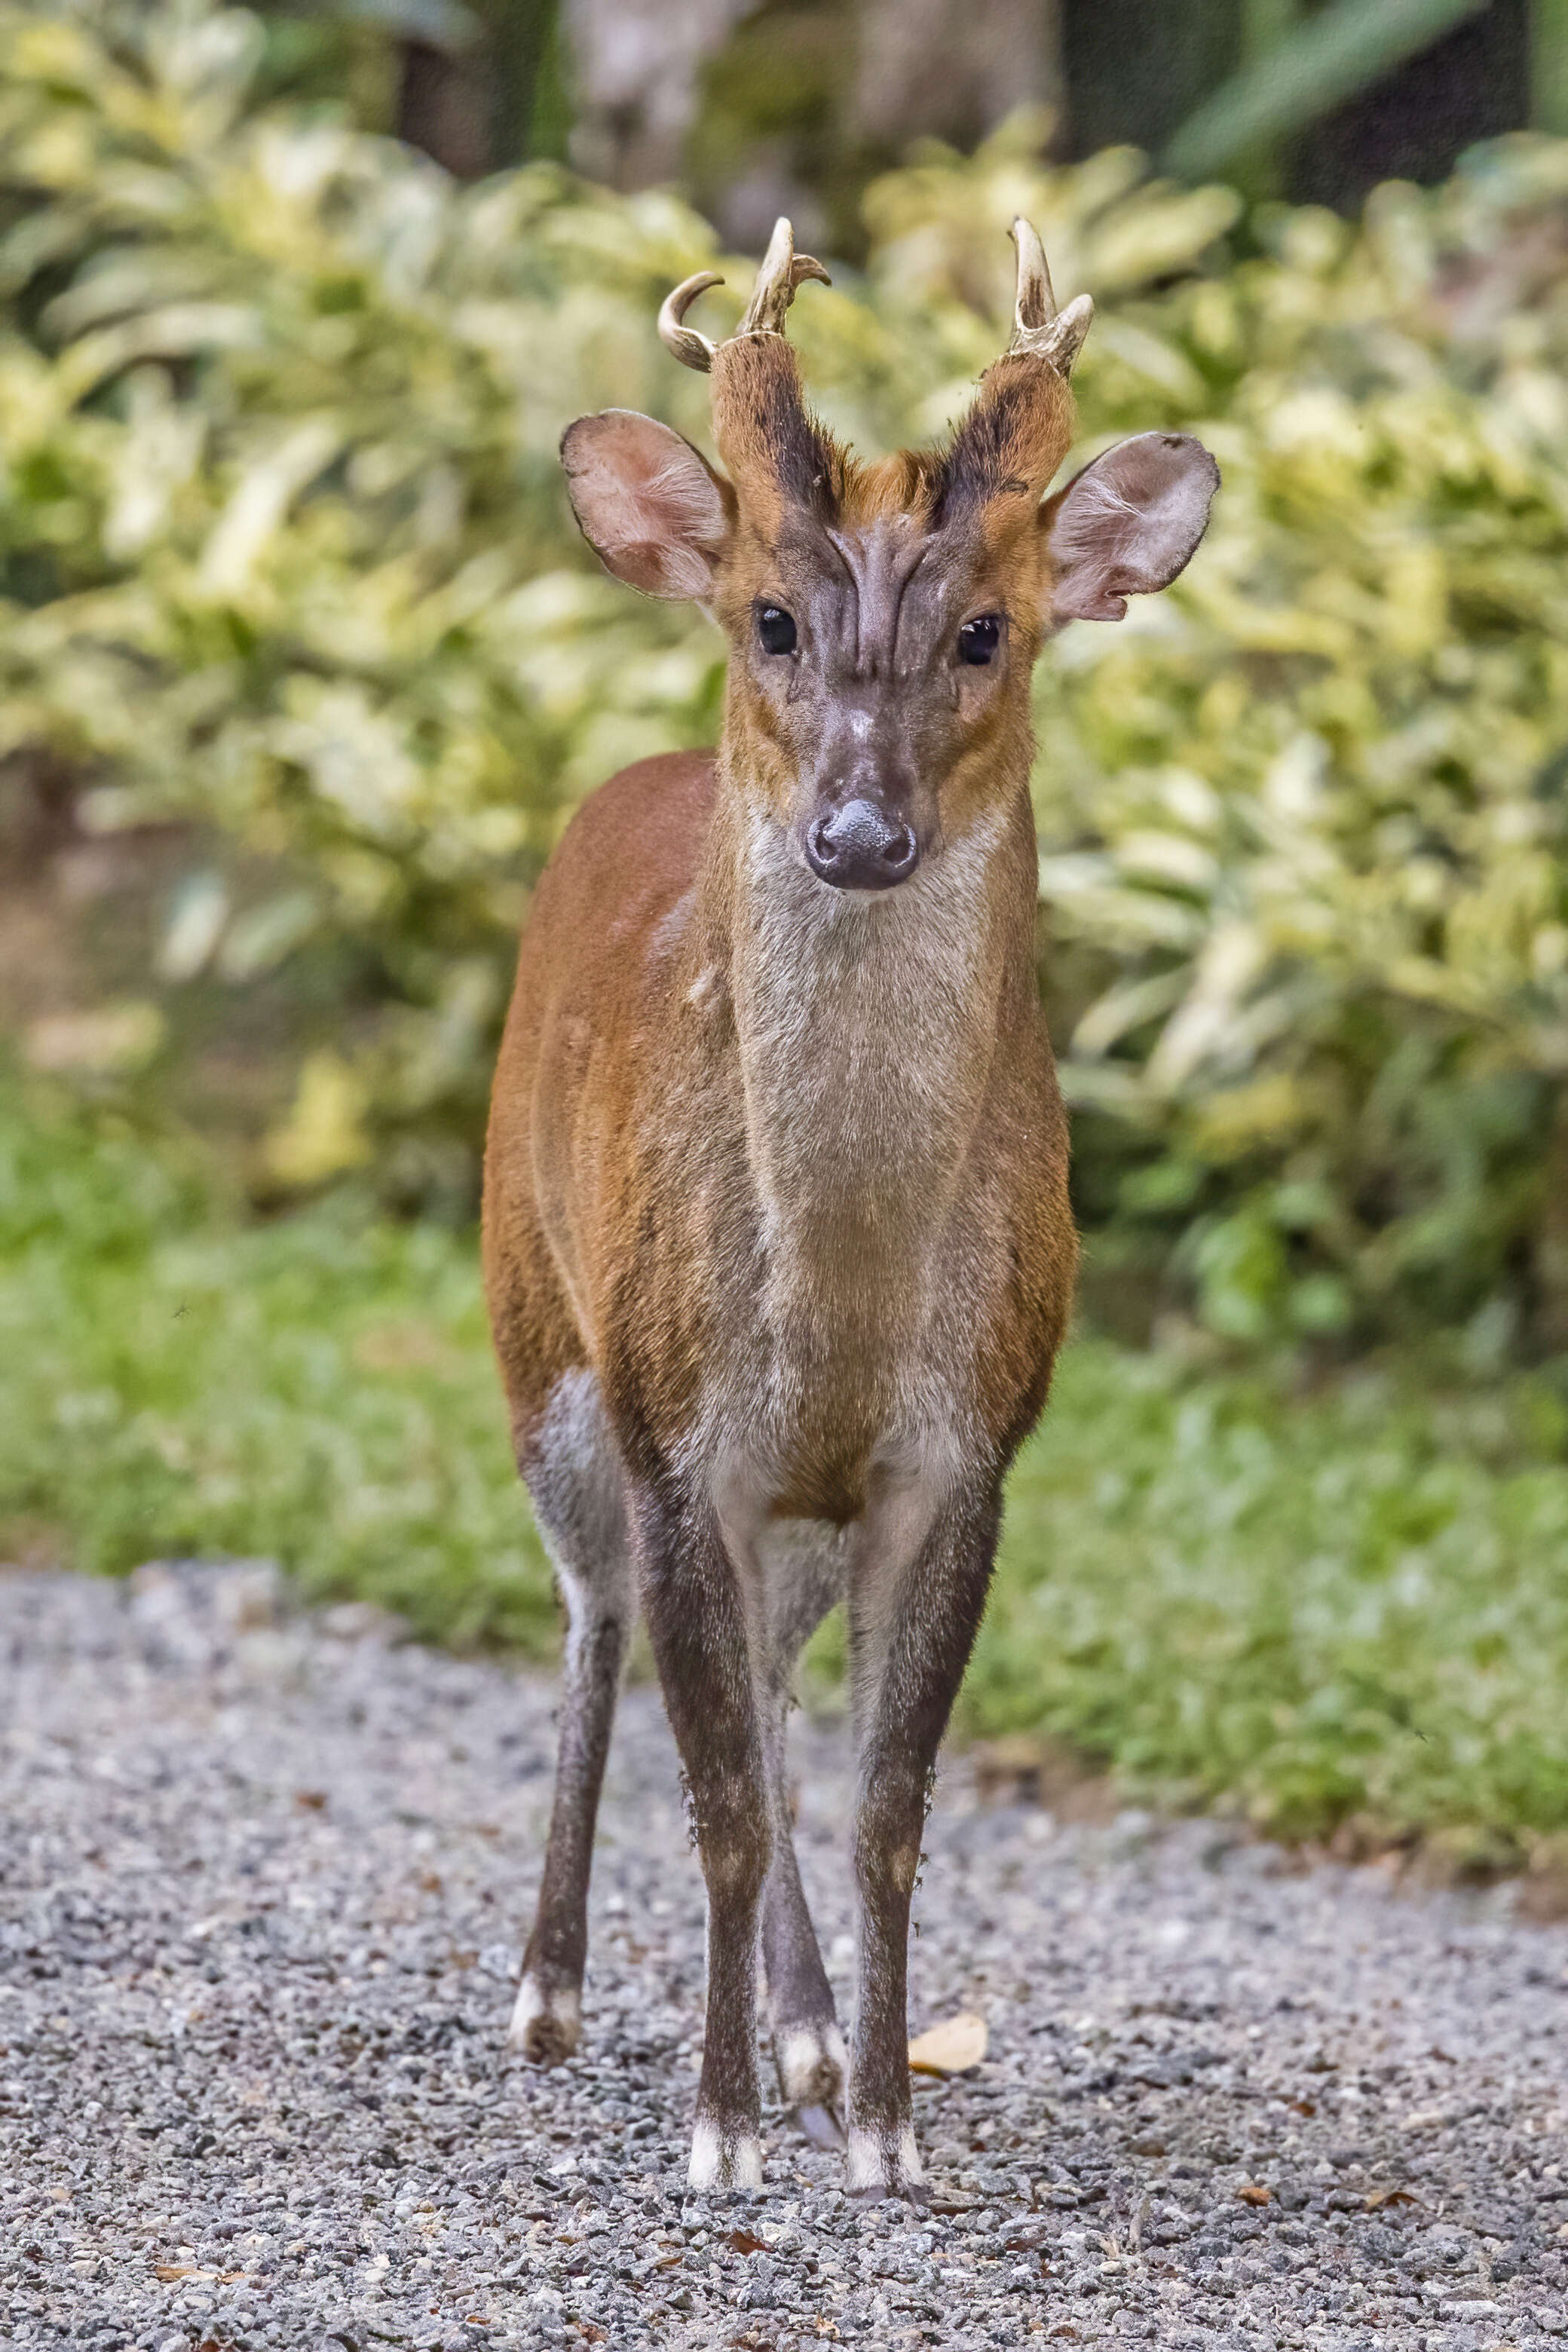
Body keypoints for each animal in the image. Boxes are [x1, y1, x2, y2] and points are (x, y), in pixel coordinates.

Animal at [484, 221, 1222, 2201]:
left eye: (986, 628)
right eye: (771, 618)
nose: (860, 834)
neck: (842, 1297)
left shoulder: (966, 1445)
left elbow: (886, 1803)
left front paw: (882, 2118)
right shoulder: (676, 1429)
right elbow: (724, 1805)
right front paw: (722, 2129)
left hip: (784, 1509)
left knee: (776, 1683)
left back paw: (809, 2031)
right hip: (541, 1340)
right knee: (589, 1617)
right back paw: (551, 1993)